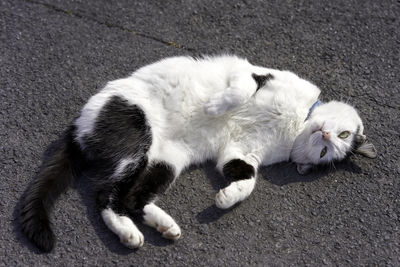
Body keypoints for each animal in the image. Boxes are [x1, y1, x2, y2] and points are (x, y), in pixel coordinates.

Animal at [18, 55, 376, 253]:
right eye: (341, 136)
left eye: (326, 151)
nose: (325, 134)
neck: (296, 122)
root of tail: (78, 126)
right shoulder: (254, 74)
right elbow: (241, 89)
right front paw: (215, 107)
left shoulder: (240, 152)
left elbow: (248, 181)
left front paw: (227, 197)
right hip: (136, 135)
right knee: (106, 193)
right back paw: (132, 231)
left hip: (164, 159)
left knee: (128, 197)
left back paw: (155, 226)